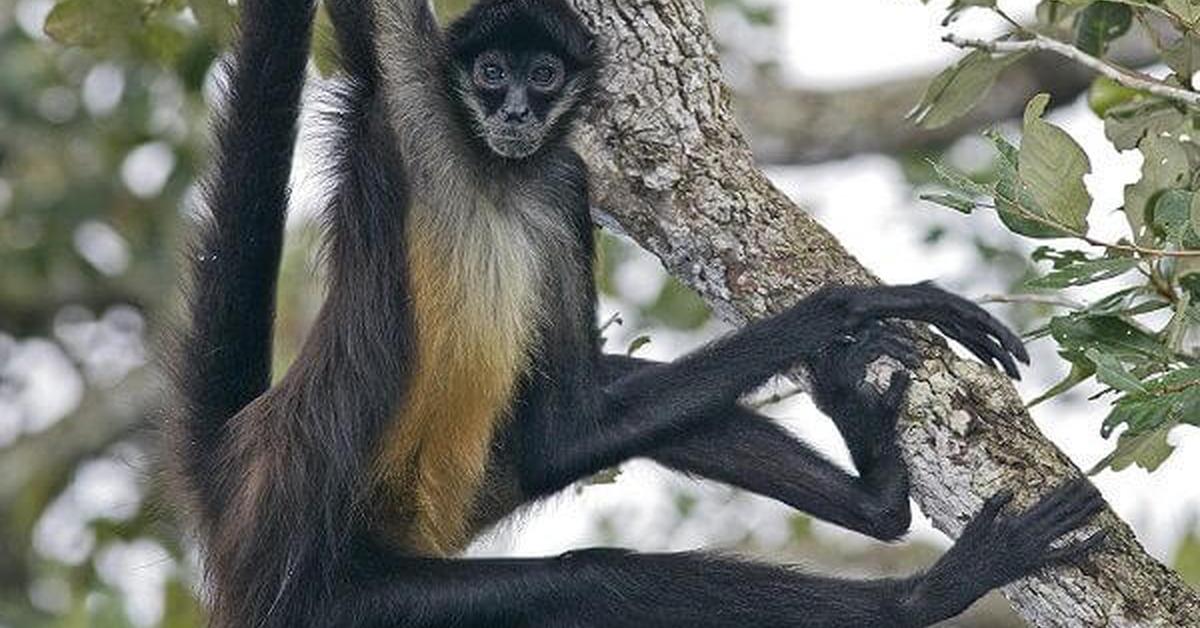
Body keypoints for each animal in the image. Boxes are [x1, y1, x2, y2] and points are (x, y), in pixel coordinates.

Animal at [169, 0, 1104, 624]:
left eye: (543, 75)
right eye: (491, 73)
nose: (516, 109)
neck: (494, 169)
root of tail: (241, 467)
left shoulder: (561, 183)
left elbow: (570, 431)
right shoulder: (409, 96)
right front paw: (851, 302)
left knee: (609, 403)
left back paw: (879, 497)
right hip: (339, 603)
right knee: (594, 577)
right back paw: (925, 596)